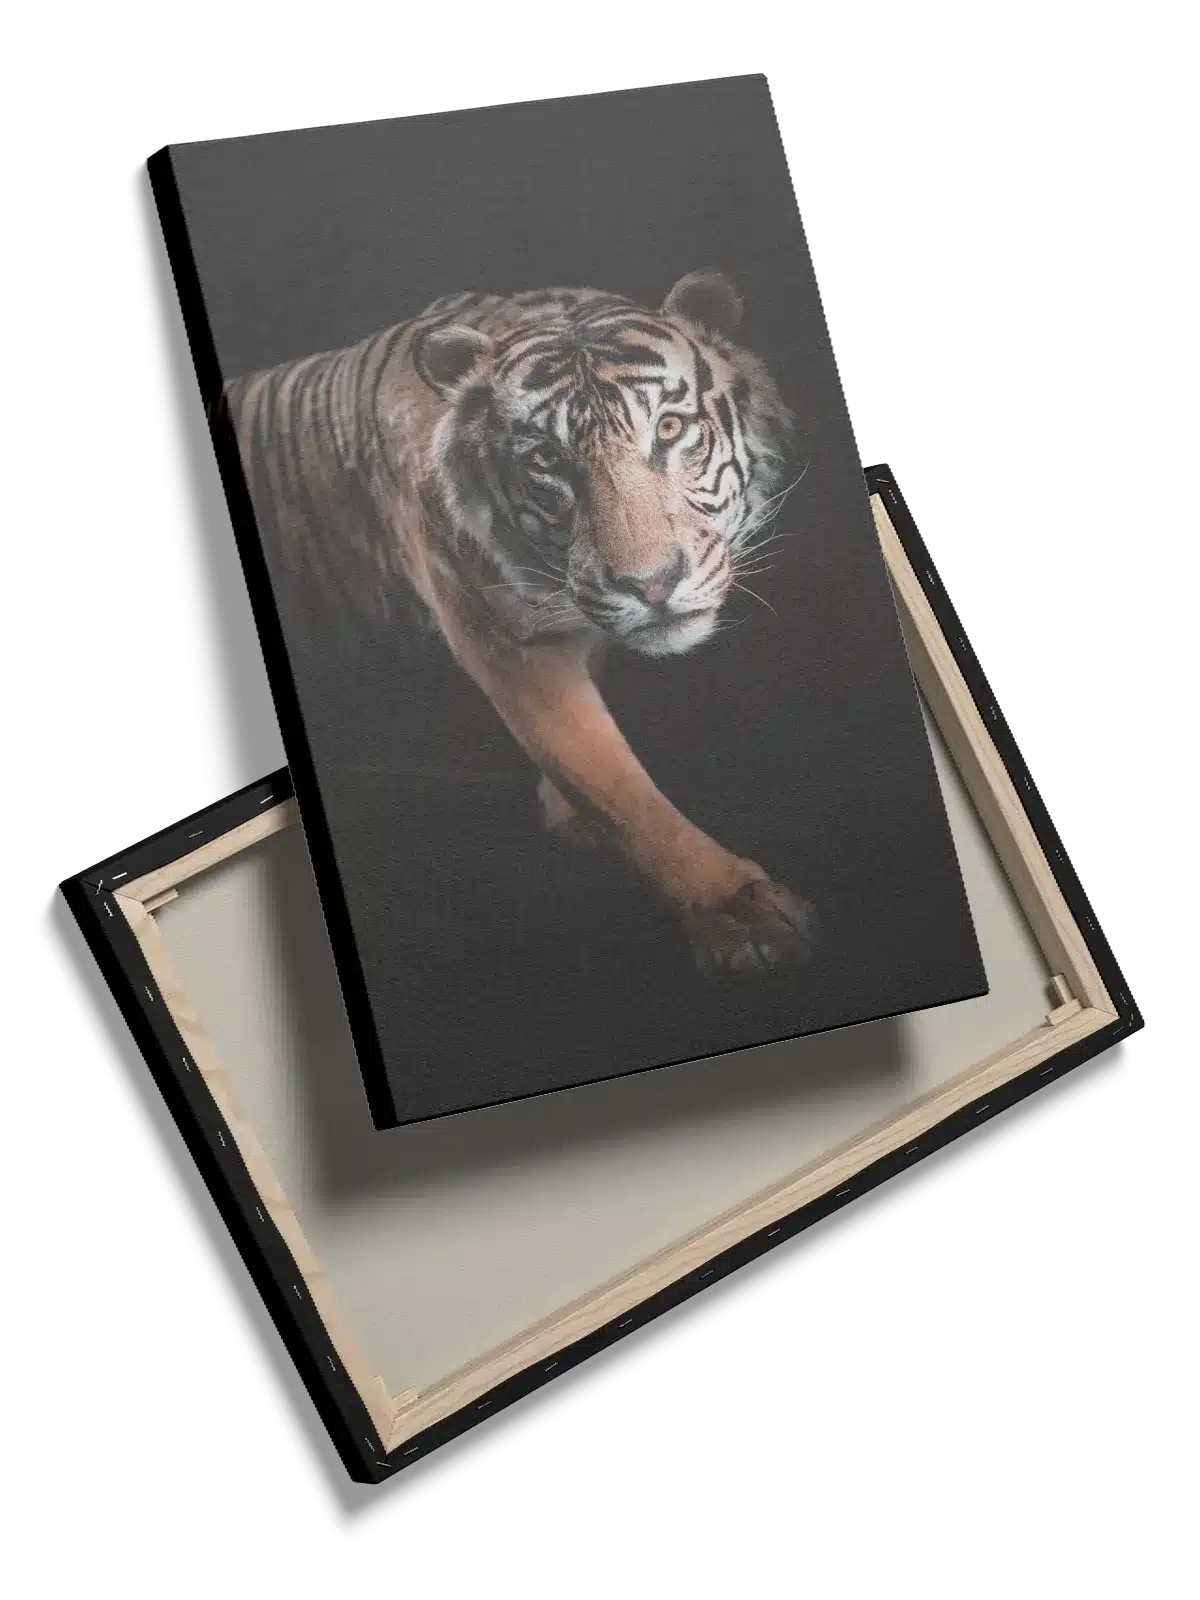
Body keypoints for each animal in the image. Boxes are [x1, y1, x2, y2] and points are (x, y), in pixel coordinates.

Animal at [224, 269, 814, 973]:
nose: (650, 585)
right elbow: (607, 774)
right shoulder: (509, 640)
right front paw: (736, 913)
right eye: (548, 461)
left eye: (670, 429)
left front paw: (568, 813)